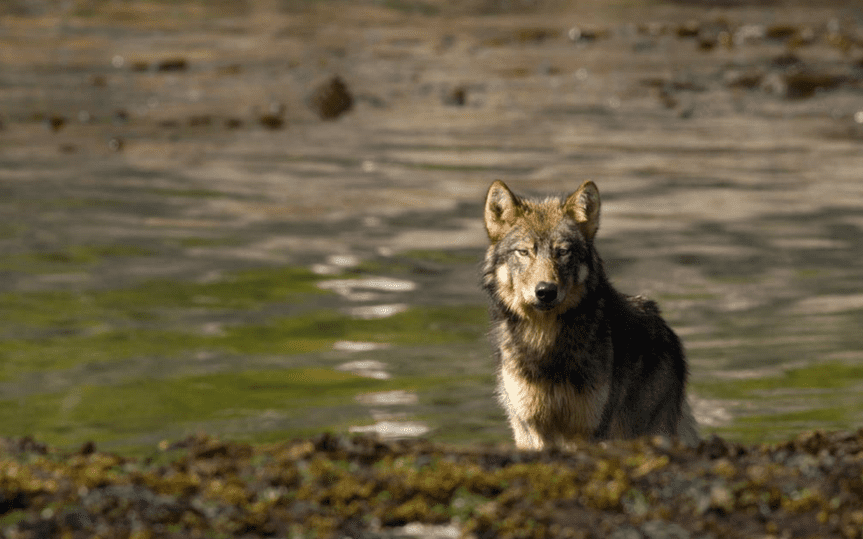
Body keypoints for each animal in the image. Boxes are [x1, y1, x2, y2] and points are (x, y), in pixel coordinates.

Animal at [482, 181, 700, 452]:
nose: (545, 291)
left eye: (563, 252)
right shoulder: (533, 427)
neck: (545, 341)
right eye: (523, 252)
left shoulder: (590, 428)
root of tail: (667, 330)